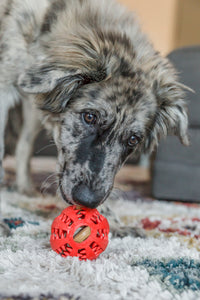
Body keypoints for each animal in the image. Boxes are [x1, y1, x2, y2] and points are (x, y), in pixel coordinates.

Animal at [0, 0, 188, 234]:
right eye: (89, 117)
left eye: (133, 139)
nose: (87, 200)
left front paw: (110, 221)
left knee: (23, 145)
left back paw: (24, 187)